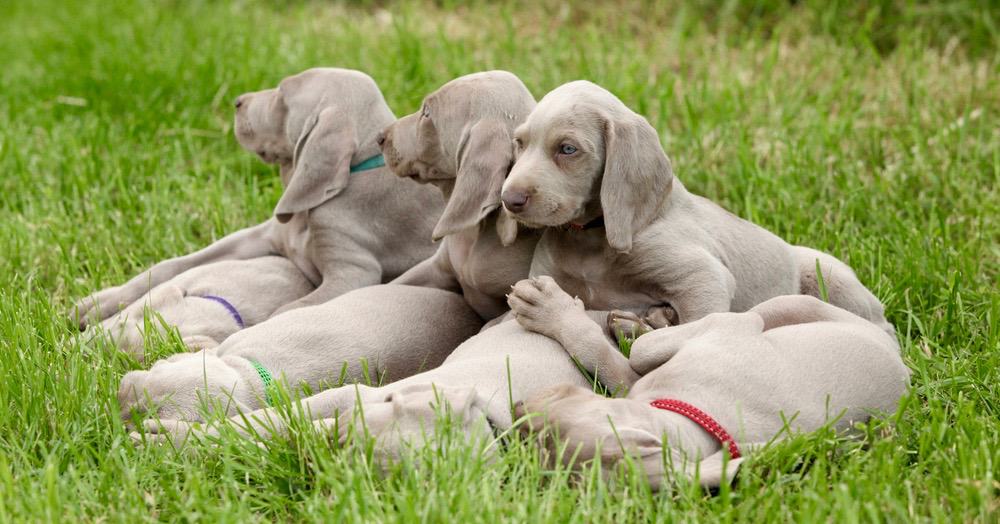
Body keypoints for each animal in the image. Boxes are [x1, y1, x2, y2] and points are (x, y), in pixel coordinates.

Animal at [72, 68, 440, 330]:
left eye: (282, 96)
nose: (237, 100)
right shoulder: (264, 236)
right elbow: (172, 265)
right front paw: (101, 303)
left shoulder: (354, 273)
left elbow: (287, 310)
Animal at [500, 82, 892, 336]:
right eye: (519, 143)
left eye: (567, 149)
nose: (510, 199)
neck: (590, 241)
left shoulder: (705, 278)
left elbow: (695, 328)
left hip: (829, 275)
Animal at [508, 276, 908, 490]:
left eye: (551, 431)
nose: (517, 410)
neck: (699, 418)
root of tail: (901, 362)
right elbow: (614, 359)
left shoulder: (725, 331)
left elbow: (635, 354)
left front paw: (549, 310)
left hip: (790, 305)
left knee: (757, 312)